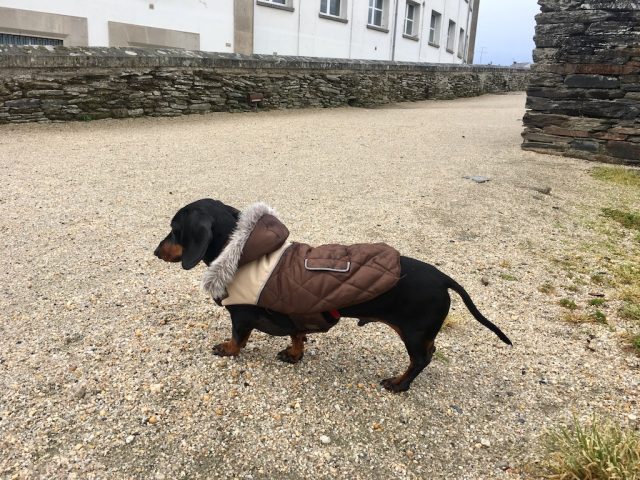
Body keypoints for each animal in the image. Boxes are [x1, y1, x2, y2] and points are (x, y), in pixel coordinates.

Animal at [155, 198, 510, 390]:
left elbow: (238, 338)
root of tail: (443, 278)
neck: (243, 252)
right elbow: (297, 336)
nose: (155, 251)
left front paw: (227, 349)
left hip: (412, 332)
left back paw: (399, 384)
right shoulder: (295, 313)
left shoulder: (241, 316)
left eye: (174, 230)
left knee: (421, 359)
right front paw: (294, 354)